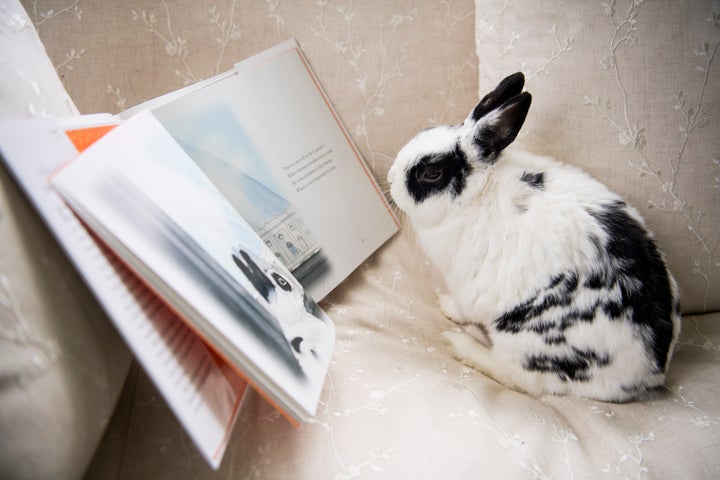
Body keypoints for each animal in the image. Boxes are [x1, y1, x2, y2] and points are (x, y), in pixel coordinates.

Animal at [388, 71, 680, 402]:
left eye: (431, 174)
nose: (391, 180)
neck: (479, 191)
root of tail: (649, 374)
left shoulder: (465, 285)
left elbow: (464, 308)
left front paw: (446, 306)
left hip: (524, 341)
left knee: (518, 378)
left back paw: (459, 344)